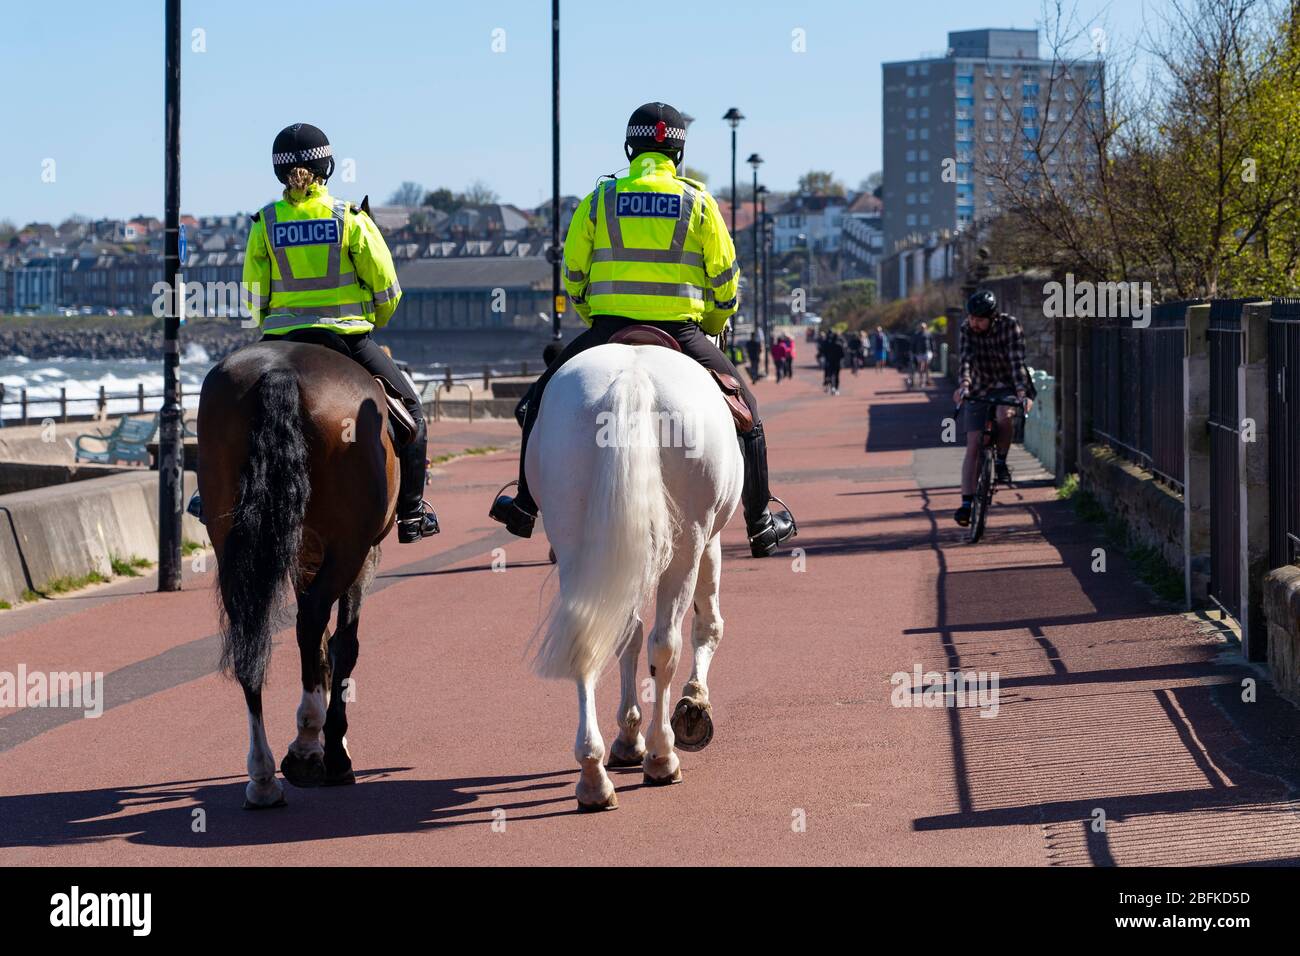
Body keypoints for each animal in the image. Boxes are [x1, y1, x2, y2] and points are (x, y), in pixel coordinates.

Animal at [196, 340, 395, 806]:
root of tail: (278, 369)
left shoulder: (305, 555)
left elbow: (321, 651)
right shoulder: (363, 555)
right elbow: (342, 646)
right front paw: (335, 749)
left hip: (231, 541)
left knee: (250, 639)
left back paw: (263, 776)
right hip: (350, 547)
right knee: (312, 623)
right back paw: (305, 746)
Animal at [525, 340, 743, 811]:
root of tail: (631, 377)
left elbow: (627, 633)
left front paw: (627, 734)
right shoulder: (710, 542)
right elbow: (708, 624)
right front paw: (693, 703)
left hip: (575, 542)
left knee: (589, 637)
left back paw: (593, 774)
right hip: (688, 543)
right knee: (667, 642)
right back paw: (662, 755)